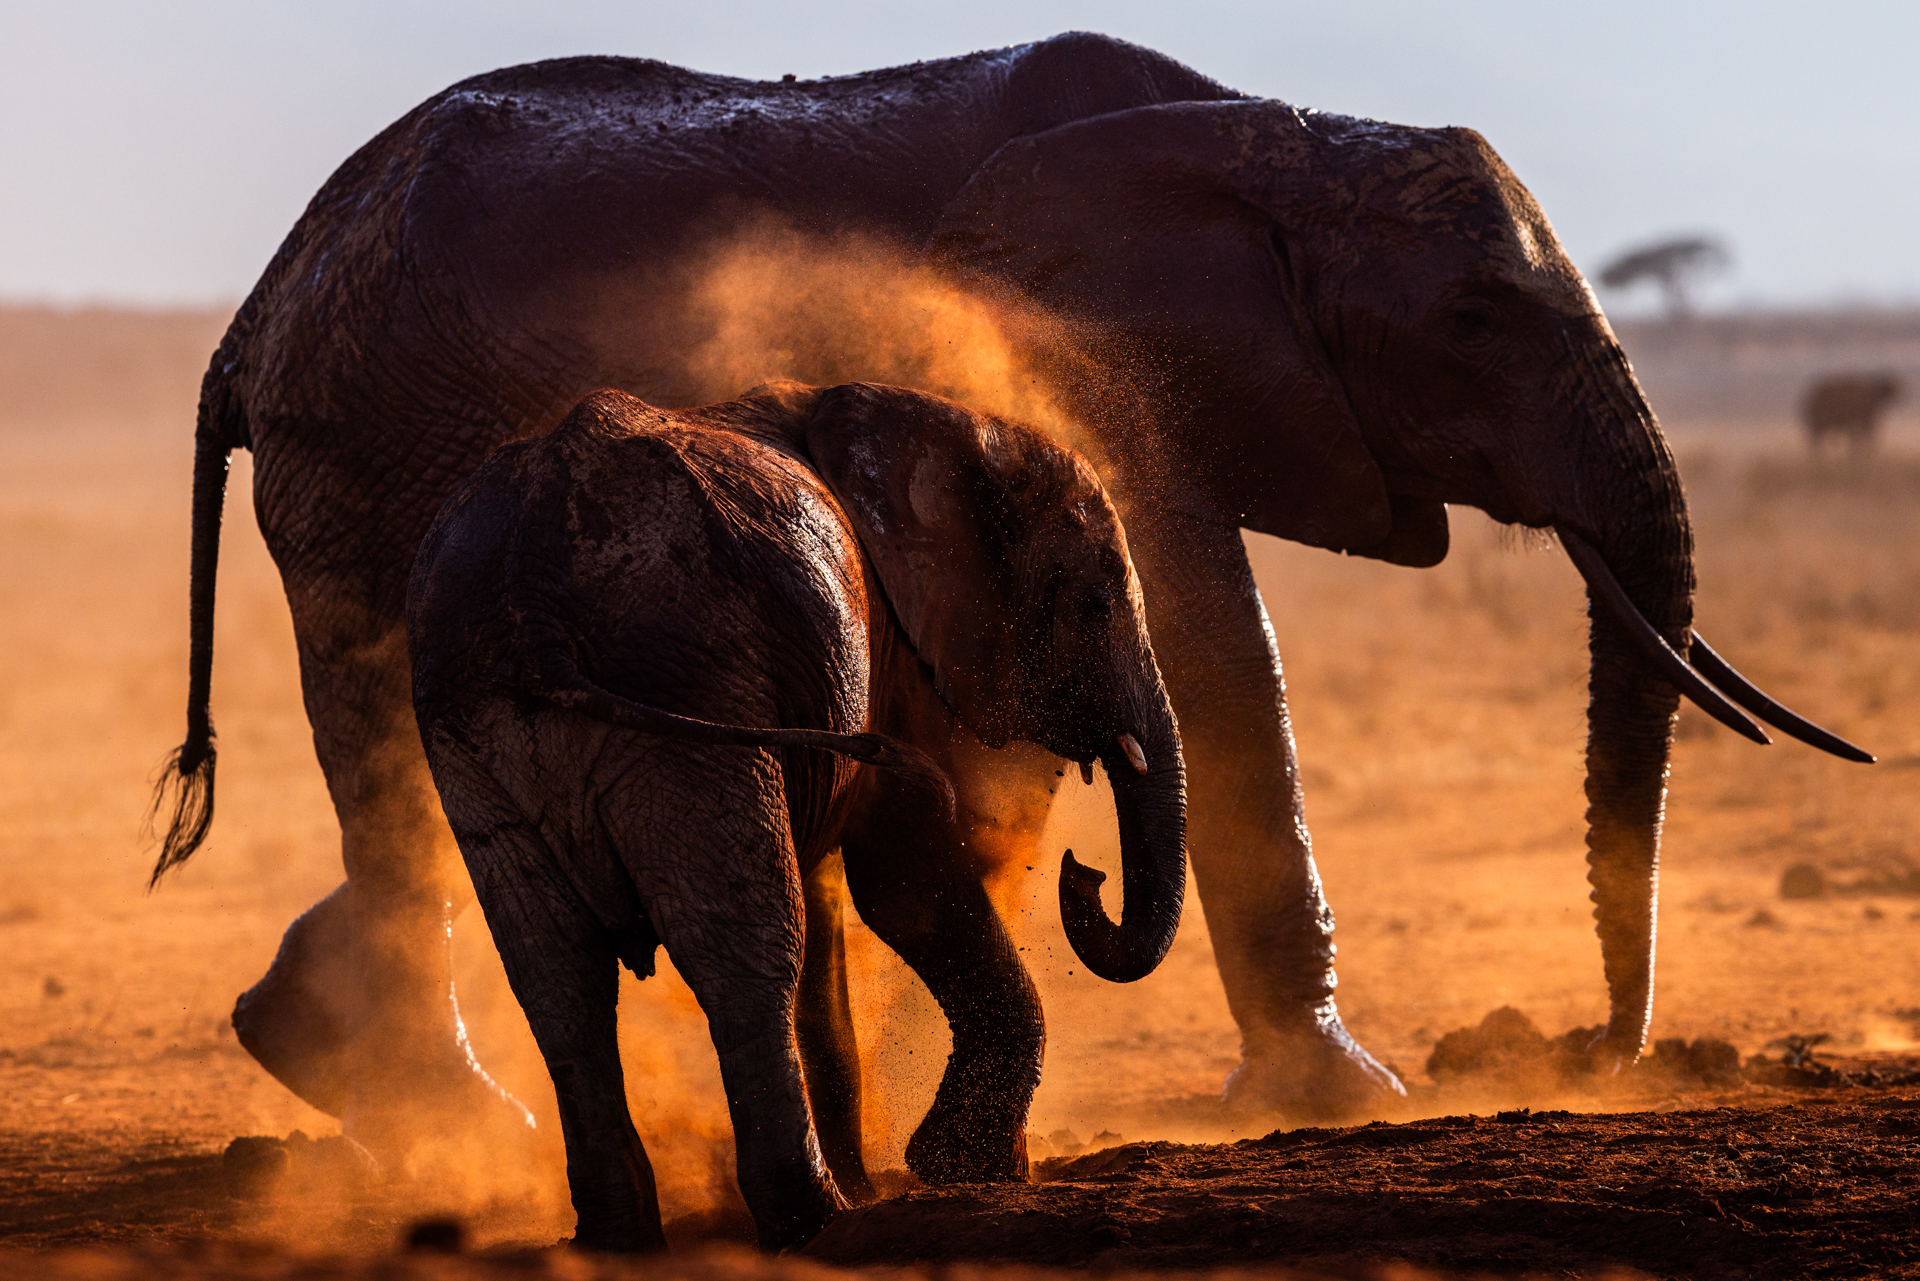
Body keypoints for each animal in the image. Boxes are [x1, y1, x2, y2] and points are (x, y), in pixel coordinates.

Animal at [150, 32, 1869, 1152]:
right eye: (1471, 316)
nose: (1582, 1047)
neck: (1277, 139)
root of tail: (261, 305)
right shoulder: (1093, 355)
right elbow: (1218, 651)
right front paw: (1346, 1098)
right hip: (367, 458)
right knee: (381, 740)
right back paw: (454, 1120)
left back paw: (314, 1053)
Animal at [406, 381, 1186, 1250]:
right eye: (1096, 602)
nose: (1085, 873)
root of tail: (530, 600)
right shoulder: (881, 661)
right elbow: (901, 877)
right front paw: (963, 1168)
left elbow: (832, 901)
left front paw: (914, 1170)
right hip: (689, 685)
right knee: (744, 951)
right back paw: (812, 1219)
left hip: (478, 737)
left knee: (559, 980)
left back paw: (622, 1236)